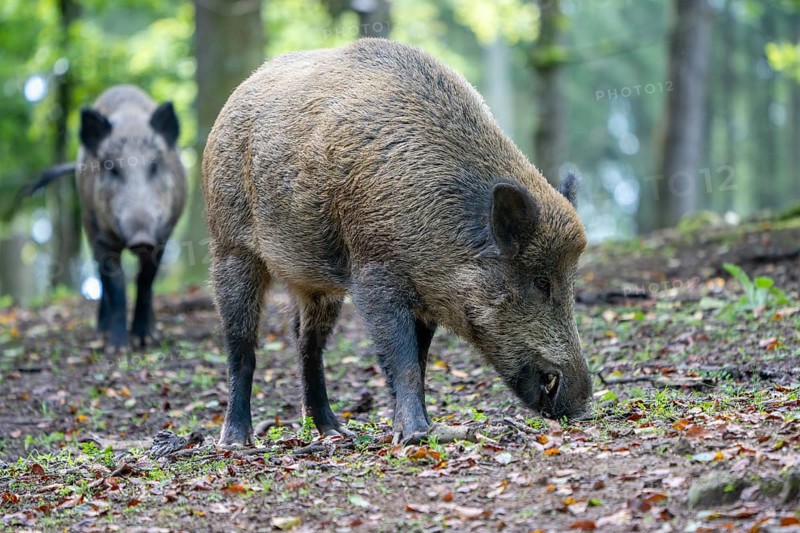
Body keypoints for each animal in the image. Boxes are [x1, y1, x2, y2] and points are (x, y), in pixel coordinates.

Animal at [22, 85, 186, 353]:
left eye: (154, 165)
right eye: (111, 167)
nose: (141, 237)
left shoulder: (163, 235)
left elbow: (145, 280)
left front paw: (144, 341)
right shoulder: (100, 236)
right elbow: (115, 284)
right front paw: (117, 349)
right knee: (101, 279)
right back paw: (100, 333)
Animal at [202, 39, 591, 446]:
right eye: (540, 281)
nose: (581, 403)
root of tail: (239, 93)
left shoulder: (428, 298)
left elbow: (419, 362)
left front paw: (428, 429)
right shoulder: (375, 272)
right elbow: (402, 359)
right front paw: (416, 435)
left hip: (314, 281)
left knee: (308, 344)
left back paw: (335, 431)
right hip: (230, 245)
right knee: (241, 345)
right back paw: (236, 440)